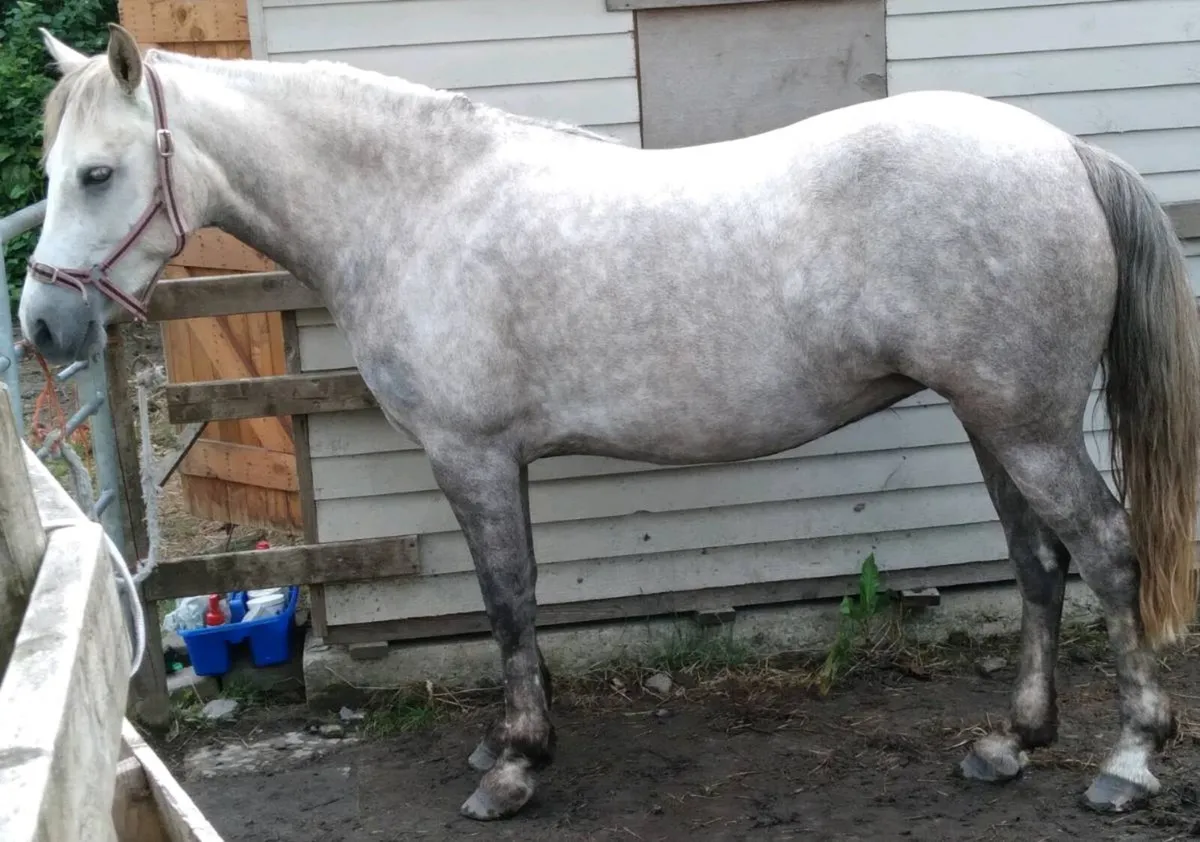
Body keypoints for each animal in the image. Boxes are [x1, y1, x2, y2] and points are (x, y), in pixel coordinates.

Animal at [19, 23, 1200, 822]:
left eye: (98, 172)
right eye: (52, 173)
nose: (40, 324)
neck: (419, 206)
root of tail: (1064, 153)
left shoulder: (473, 456)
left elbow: (507, 598)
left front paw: (513, 764)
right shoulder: (497, 460)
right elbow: (517, 599)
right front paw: (509, 742)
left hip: (1027, 423)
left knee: (1107, 552)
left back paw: (1128, 761)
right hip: (996, 417)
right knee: (1040, 562)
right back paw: (1014, 741)